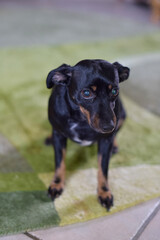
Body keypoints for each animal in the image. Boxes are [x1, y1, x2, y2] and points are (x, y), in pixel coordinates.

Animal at [45, 59, 129, 210]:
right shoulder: (59, 137)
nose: (109, 127)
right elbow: (60, 163)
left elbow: (103, 169)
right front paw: (56, 185)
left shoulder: (105, 141)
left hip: (122, 116)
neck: (82, 120)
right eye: (86, 93)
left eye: (115, 91)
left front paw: (104, 193)